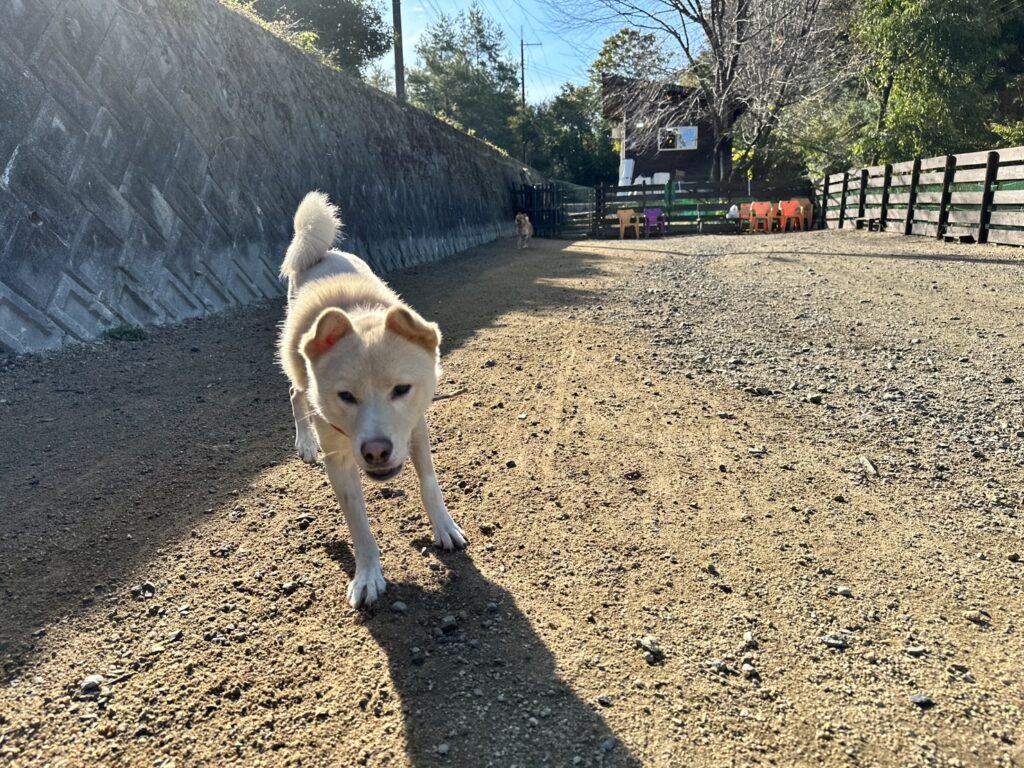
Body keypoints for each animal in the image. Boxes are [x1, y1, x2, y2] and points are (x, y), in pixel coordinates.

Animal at [278, 191, 467, 607]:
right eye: (346, 396)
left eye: (401, 390)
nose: (376, 451)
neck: (358, 315)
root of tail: (323, 253)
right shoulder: (339, 461)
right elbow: (359, 526)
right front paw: (367, 575)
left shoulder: (415, 427)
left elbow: (430, 484)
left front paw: (444, 526)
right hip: (296, 367)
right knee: (295, 393)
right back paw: (305, 442)